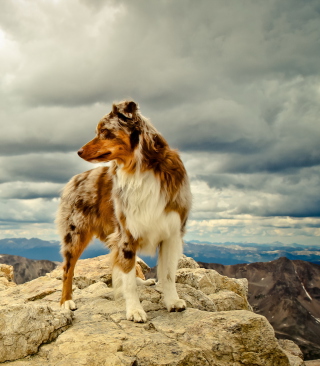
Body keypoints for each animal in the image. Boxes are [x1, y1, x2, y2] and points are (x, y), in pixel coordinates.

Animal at [56, 98, 191, 322]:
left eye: (104, 131)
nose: (79, 151)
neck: (141, 169)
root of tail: (75, 179)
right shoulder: (126, 234)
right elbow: (127, 278)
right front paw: (135, 310)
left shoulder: (171, 232)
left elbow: (168, 274)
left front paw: (172, 301)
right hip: (75, 234)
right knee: (68, 269)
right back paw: (66, 302)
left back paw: (142, 282)